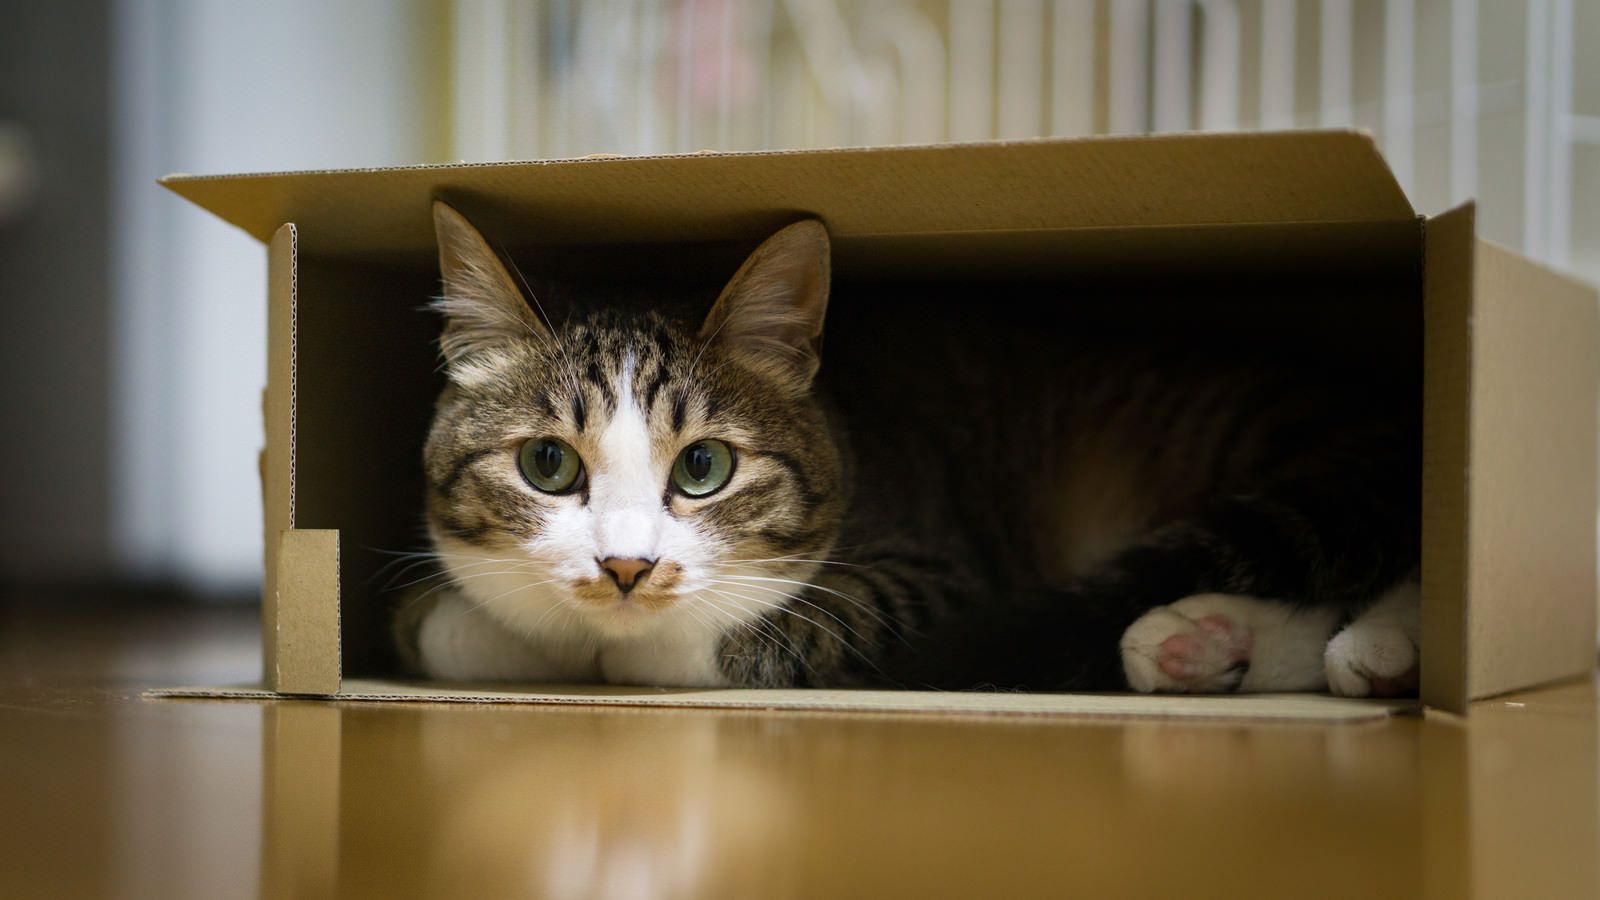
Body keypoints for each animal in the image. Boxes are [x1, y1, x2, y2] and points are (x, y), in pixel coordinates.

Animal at [393, 203, 1420, 695]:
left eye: (702, 468)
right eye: (548, 465)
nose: (625, 567)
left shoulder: (938, 569)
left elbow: (758, 630)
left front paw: (635, 650)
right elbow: (438, 627)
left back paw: (1372, 647)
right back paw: (1208, 645)